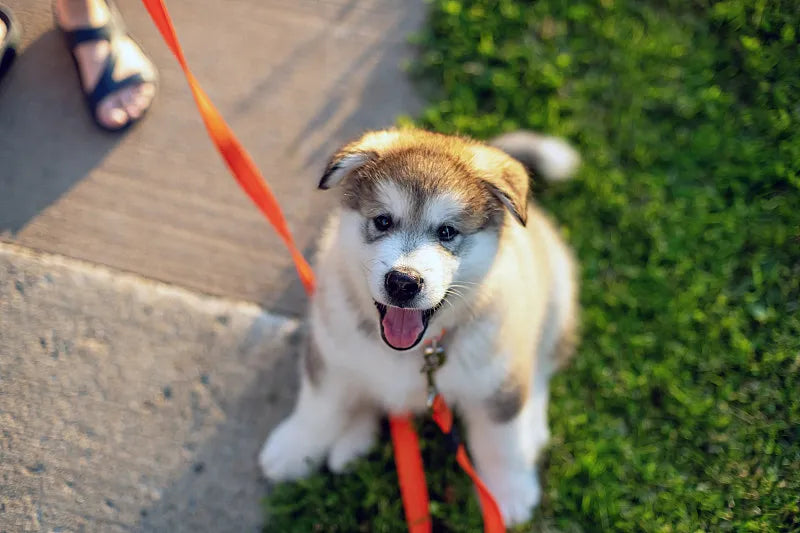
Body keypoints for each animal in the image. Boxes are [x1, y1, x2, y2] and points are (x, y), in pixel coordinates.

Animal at [259, 128, 580, 525]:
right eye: (383, 221)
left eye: (447, 232)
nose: (403, 282)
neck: (414, 353)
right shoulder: (331, 355)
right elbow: (318, 406)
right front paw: (294, 448)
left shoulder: (497, 380)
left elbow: (502, 443)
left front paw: (509, 493)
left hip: (556, 302)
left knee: (541, 370)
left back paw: (533, 427)